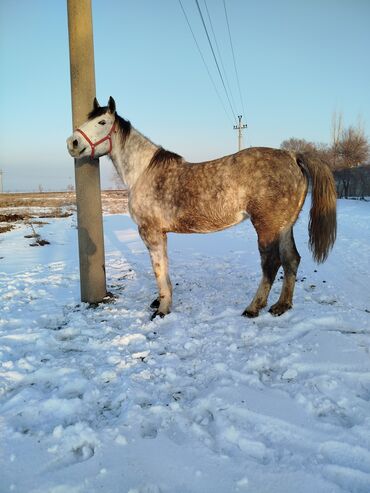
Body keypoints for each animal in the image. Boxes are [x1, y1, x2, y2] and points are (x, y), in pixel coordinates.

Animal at [66, 97, 336, 320]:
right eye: (87, 119)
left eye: (102, 122)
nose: (73, 143)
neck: (143, 172)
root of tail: (292, 156)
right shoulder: (161, 233)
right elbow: (164, 267)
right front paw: (162, 302)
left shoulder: (149, 232)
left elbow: (158, 269)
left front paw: (162, 310)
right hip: (284, 226)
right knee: (292, 260)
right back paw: (282, 306)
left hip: (266, 227)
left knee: (272, 264)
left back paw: (253, 308)